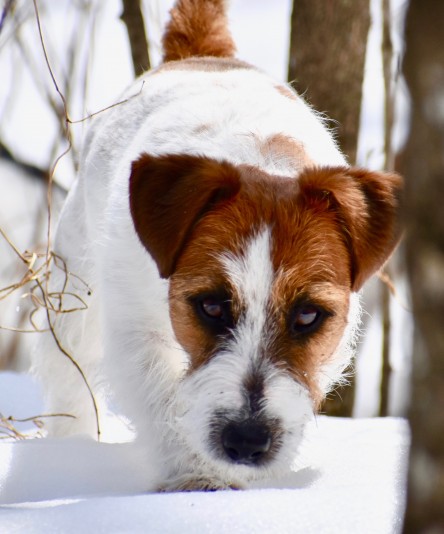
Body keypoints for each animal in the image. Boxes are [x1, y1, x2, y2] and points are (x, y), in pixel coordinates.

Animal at [33, 0, 402, 494]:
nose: (247, 441)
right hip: (75, 293)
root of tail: (199, 54)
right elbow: (161, 402)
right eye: (209, 306)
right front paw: (198, 476)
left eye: (308, 316)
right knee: (69, 373)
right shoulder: (135, 331)